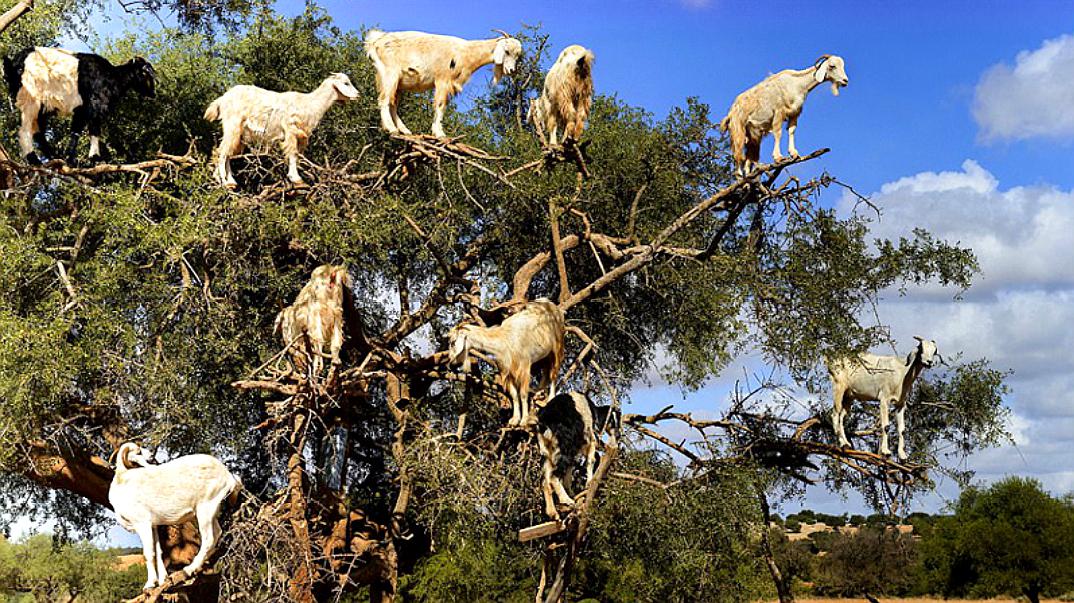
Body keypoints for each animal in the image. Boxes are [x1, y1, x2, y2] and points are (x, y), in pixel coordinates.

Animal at [2, 45, 155, 165]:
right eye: (144, 72)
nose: (153, 93)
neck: (112, 77)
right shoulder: (91, 106)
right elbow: (85, 131)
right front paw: (84, 159)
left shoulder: (88, 110)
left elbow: (85, 132)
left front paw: (84, 159)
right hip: (31, 98)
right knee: (25, 130)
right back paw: (35, 160)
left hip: (42, 106)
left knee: (38, 132)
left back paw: (54, 156)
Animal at [107, 442, 242, 589]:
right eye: (139, 452)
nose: (151, 456)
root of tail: (228, 476)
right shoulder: (153, 526)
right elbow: (158, 551)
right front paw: (162, 581)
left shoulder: (142, 524)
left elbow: (149, 553)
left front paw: (150, 584)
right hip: (212, 512)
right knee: (218, 533)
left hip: (204, 511)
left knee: (208, 539)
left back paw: (189, 569)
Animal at [202, 74, 363, 189]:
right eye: (346, 83)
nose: (358, 95)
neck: (309, 104)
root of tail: (222, 99)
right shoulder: (290, 129)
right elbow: (293, 154)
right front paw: (297, 180)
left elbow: (297, 155)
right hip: (232, 125)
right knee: (222, 152)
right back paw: (224, 181)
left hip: (239, 132)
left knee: (228, 153)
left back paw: (229, 182)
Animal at [365, 28, 524, 138]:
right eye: (507, 51)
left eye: (517, 55)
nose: (511, 70)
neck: (465, 53)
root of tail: (376, 41)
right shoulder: (443, 80)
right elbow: (440, 105)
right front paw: (440, 134)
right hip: (390, 74)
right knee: (384, 100)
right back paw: (392, 129)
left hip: (398, 83)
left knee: (393, 103)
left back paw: (404, 130)